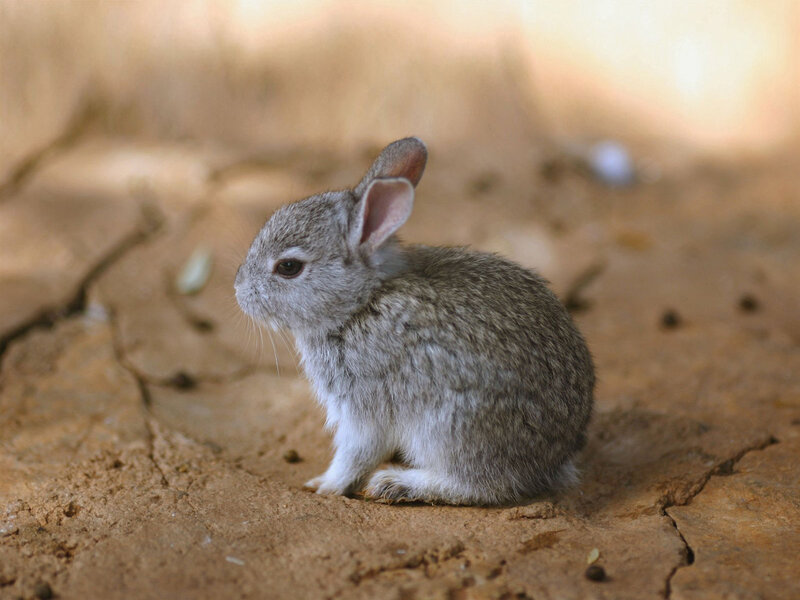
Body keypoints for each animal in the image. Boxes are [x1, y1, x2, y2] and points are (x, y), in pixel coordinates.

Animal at [235, 137, 594, 505]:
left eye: (288, 267)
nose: (239, 290)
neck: (361, 303)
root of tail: (554, 457)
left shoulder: (365, 404)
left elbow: (356, 453)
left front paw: (326, 485)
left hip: (450, 426)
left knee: (480, 485)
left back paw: (396, 483)